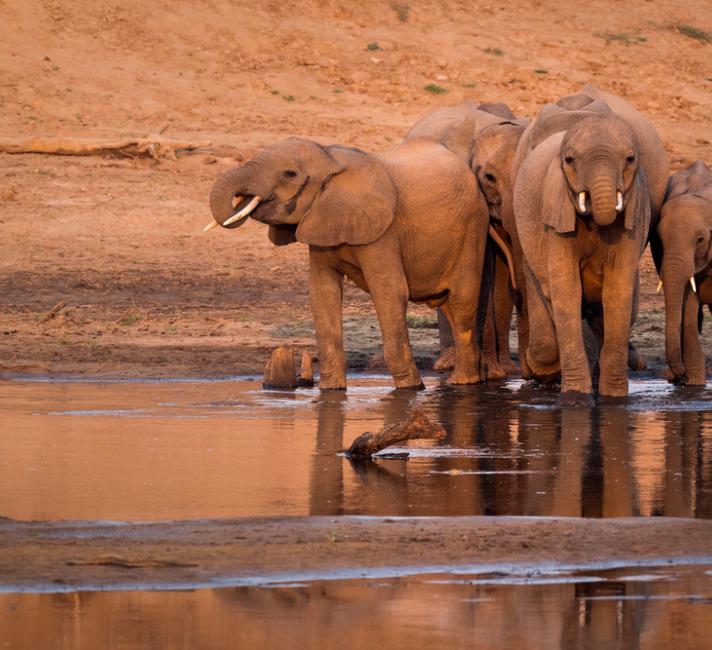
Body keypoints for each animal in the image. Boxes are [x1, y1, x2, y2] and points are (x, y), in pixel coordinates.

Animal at [206, 136, 490, 388]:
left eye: (289, 174)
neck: (330, 158)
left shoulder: (383, 231)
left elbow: (390, 292)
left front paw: (411, 389)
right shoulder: (321, 221)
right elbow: (323, 294)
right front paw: (331, 390)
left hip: (473, 229)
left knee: (462, 303)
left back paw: (461, 382)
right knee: (450, 307)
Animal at [516, 91, 672, 400]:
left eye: (630, 159)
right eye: (569, 160)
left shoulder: (635, 214)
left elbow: (617, 292)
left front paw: (614, 398)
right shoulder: (554, 215)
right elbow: (566, 289)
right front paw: (576, 397)